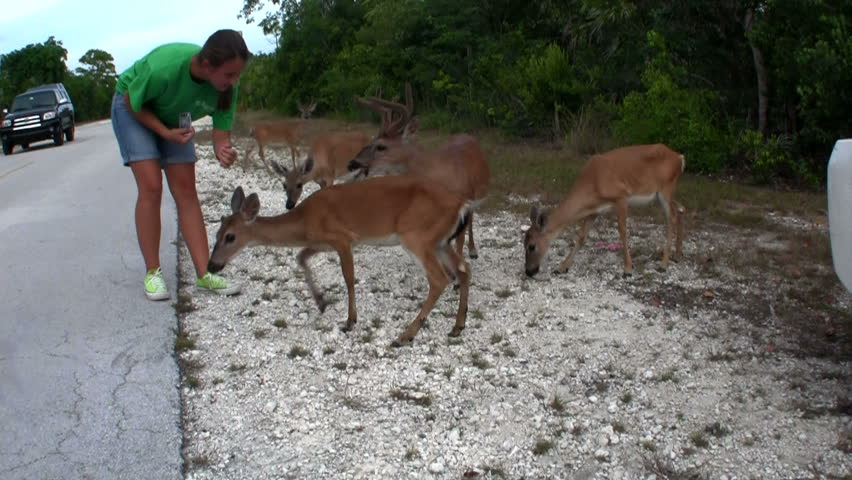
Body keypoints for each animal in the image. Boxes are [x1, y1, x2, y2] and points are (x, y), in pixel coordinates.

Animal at [208, 176, 473, 347]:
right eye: (216, 233)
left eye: (230, 236)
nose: (212, 265)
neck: (304, 221)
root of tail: (462, 203)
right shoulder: (320, 243)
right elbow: (301, 257)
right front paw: (321, 302)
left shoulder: (343, 238)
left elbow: (348, 277)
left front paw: (350, 321)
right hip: (440, 241)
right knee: (463, 268)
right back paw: (457, 327)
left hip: (417, 236)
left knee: (439, 278)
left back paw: (404, 336)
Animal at [347, 84, 490, 260]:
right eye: (371, 139)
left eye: (381, 146)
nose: (352, 164)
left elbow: (459, 239)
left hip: (477, 191)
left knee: (471, 219)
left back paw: (472, 250)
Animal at [523, 143, 686, 277]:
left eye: (531, 246)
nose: (529, 271)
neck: (593, 184)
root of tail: (679, 158)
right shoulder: (594, 210)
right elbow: (581, 236)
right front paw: (562, 267)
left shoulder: (621, 197)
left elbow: (623, 231)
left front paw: (628, 269)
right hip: (662, 194)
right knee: (680, 210)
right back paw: (677, 256)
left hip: (666, 188)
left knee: (671, 217)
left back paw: (663, 265)